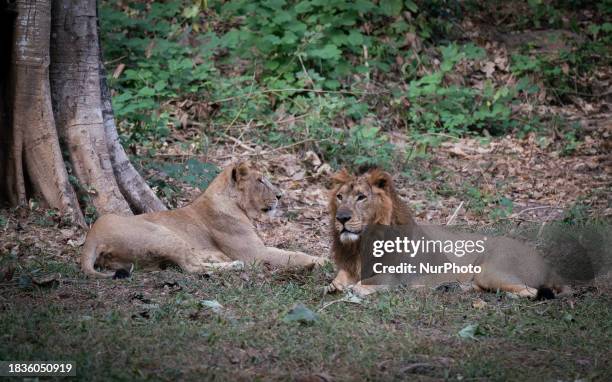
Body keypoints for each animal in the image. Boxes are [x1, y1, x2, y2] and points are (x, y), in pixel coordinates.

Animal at [83, 161, 328, 278]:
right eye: (260, 180)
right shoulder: (254, 253)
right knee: (191, 268)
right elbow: (291, 255)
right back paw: (234, 265)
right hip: (162, 233)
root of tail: (93, 236)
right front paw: (321, 261)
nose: (280, 196)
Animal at [328, 168, 568, 298]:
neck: (362, 242)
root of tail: (548, 266)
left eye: (361, 197)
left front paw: (356, 289)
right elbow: (340, 277)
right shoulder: (351, 266)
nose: (341, 218)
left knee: (531, 291)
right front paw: (333, 286)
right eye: (340, 197)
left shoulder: (397, 274)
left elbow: (369, 282)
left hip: (490, 270)